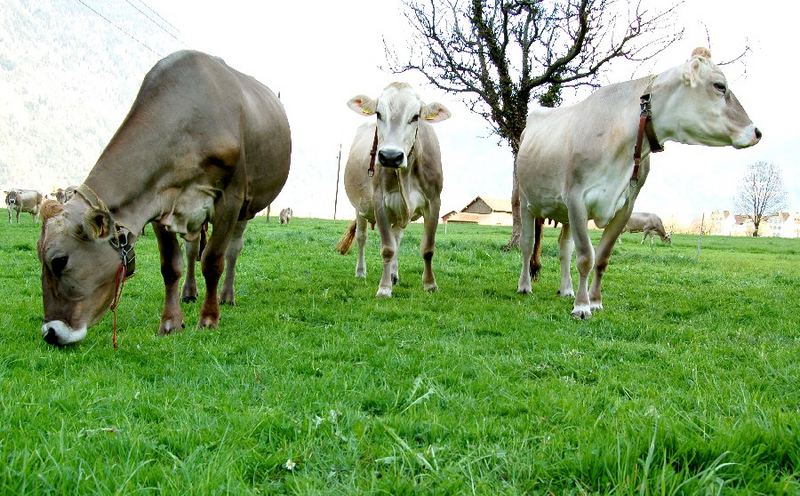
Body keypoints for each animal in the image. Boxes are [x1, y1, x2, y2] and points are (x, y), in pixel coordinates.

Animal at [37, 50, 292, 344]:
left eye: (59, 261)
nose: (50, 332)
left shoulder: (231, 198)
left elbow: (213, 260)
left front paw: (209, 319)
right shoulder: (159, 202)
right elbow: (171, 266)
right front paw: (170, 322)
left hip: (246, 208)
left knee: (233, 250)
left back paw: (227, 295)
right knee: (192, 251)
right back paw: (189, 292)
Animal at [520, 48, 764, 320]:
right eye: (720, 86)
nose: (756, 132)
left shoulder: (626, 206)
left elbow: (602, 258)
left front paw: (595, 301)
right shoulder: (576, 198)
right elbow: (585, 257)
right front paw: (582, 307)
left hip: (564, 214)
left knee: (564, 248)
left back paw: (566, 289)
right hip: (524, 199)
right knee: (527, 245)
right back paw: (525, 286)